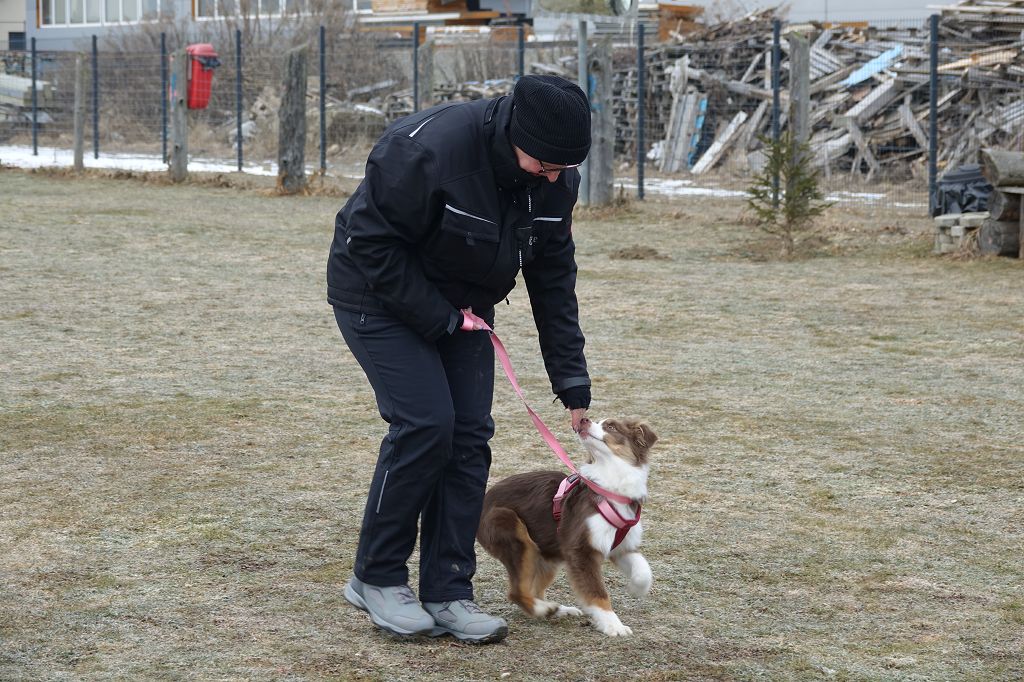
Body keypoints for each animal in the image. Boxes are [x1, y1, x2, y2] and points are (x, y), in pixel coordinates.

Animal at [477, 417, 657, 637]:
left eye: (610, 426)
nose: (583, 419)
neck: (610, 487)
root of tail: (484, 499)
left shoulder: (621, 546)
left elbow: (644, 570)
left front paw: (636, 588)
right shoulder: (581, 550)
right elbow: (597, 592)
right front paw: (613, 625)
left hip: (547, 554)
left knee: (533, 589)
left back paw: (559, 610)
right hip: (517, 536)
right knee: (516, 592)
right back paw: (545, 608)